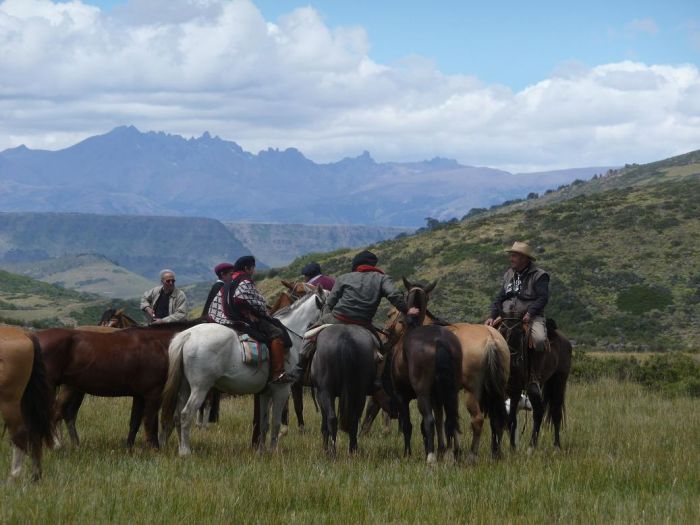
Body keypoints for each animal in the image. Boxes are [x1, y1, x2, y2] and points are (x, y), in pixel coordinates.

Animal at [159, 286, 326, 454]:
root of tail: (187, 335)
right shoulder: (282, 389)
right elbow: (276, 423)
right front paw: (273, 451)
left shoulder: (266, 392)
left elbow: (264, 423)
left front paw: (261, 451)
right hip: (200, 388)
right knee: (186, 414)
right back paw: (185, 451)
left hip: (184, 387)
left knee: (177, 415)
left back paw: (181, 447)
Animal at [494, 318, 572, 448]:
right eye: (501, 334)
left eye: (519, 337)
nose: (513, 363)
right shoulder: (505, 391)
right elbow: (505, 418)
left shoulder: (516, 390)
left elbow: (512, 419)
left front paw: (512, 447)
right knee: (539, 411)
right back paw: (533, 445)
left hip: (558, 381)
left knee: (555, 413)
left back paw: (554, 445)